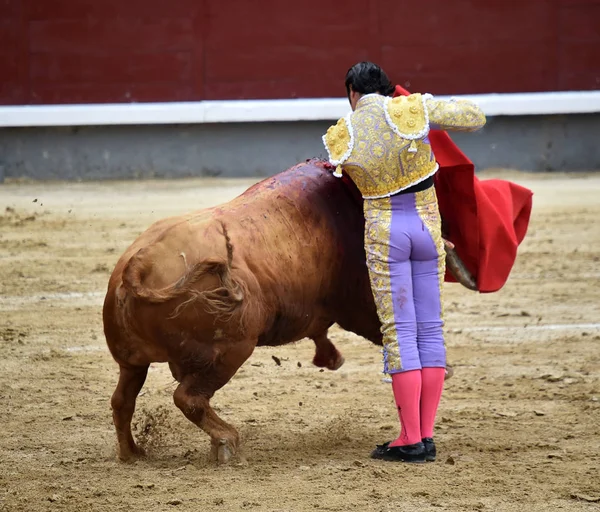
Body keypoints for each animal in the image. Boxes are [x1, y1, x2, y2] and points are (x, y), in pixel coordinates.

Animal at [103, 159, 468, 464]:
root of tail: (139, 264)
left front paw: (330, 357)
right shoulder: (360, 300)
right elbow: (379, 324)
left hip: (131, 361)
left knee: (123, 400)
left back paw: (132, 453)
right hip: (231, 350)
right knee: (187, 398)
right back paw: (226, 442)